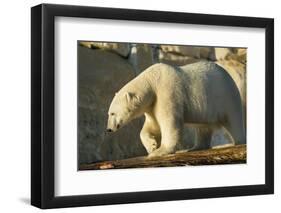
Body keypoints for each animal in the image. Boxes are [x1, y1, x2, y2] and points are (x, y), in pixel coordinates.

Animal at [106, 60, 244, 157]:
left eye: (112, 113)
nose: (108, 129)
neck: (151, 80)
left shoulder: (166, 91)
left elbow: (168, 121)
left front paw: (159, 151)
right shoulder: (152, 105)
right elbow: (152, 125)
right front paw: (152, 146)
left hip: (225, 95)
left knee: (234, 119)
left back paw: (239, 141)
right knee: (202, 127)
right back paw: (196, 147)